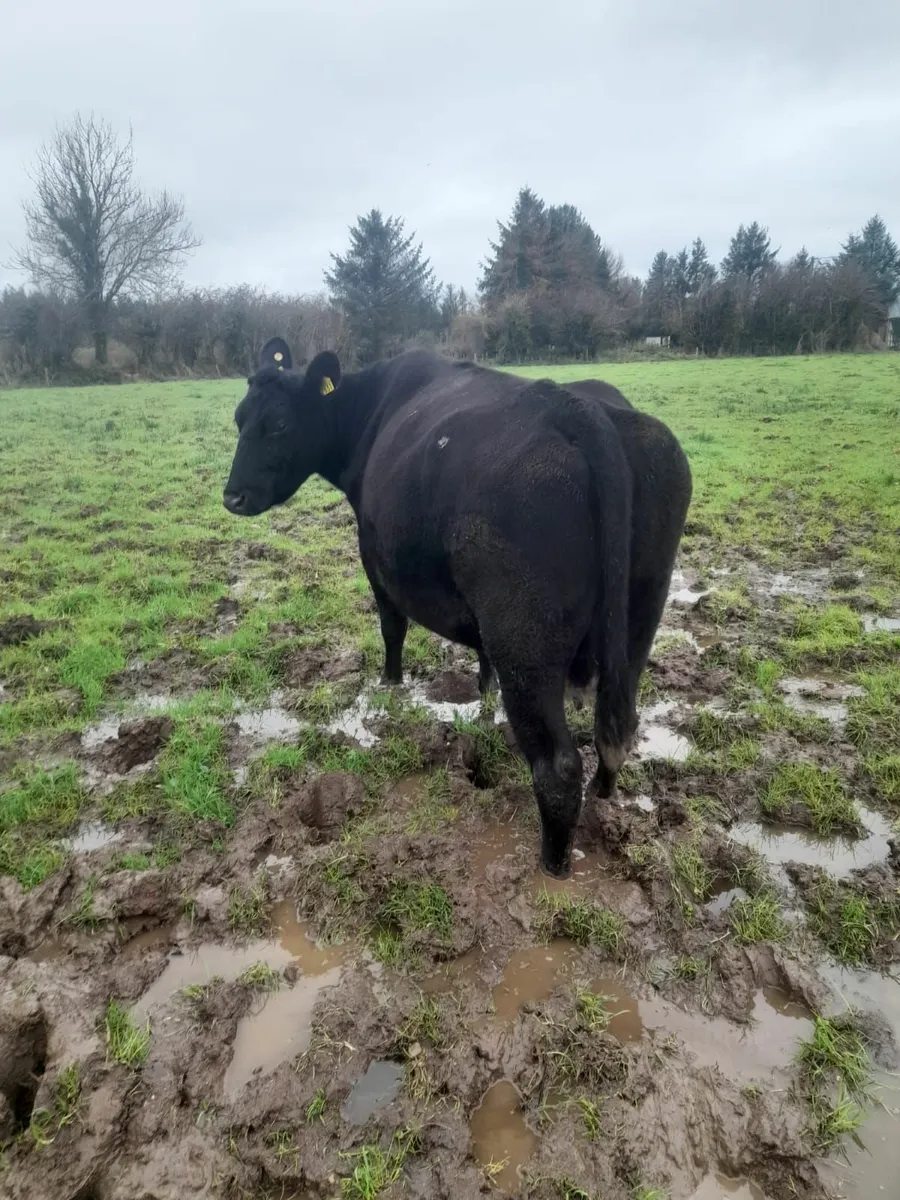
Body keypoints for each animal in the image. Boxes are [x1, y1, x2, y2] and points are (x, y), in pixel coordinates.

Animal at [223, 338, 692, 878]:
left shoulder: (376, 560)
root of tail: (577, 409)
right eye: (238, 417)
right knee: (615, 727)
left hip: (525, 642)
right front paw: (483, 699)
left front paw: (390, 685)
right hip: (638, 621)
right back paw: (604, 797)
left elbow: (392, 629)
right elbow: (480, 658)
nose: (231, 497)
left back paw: (552, 866)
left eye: (278, 423)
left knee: (557, 766)